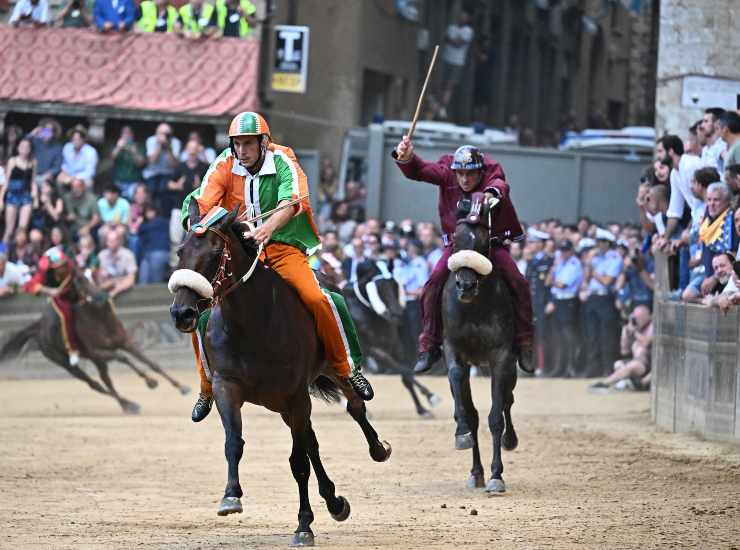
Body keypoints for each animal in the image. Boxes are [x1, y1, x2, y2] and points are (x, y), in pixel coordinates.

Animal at [169, 205, 394, 548]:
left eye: (216, 251)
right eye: (181, 251)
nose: (182, 312)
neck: (252, 324)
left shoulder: (295, 395)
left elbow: (298, 464)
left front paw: (303, 526)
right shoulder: (227, 387)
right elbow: (234, 441)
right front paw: (231, 496)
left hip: (325, 375)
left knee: (354, 406)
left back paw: (377, 448)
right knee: (312, 441)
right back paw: (334, 501)